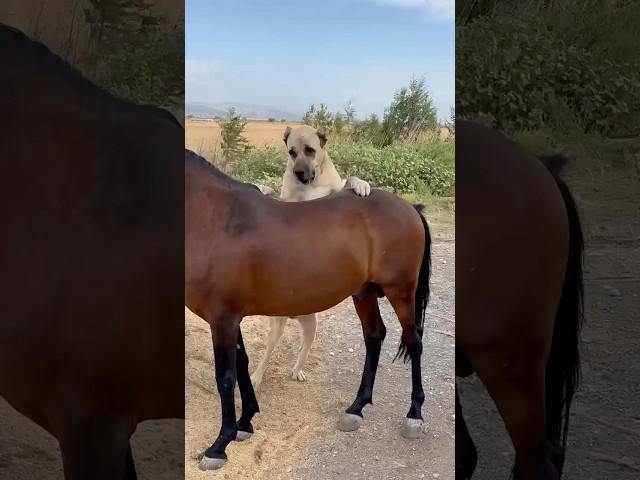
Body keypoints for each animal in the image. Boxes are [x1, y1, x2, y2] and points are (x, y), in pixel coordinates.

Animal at [250, 125, 370, 388]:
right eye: (291, 152)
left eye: (310, 150)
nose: (299, 173)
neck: (310, 186)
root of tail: (293, 313)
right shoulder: (287, 203)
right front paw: (261, 187)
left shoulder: (333, 192)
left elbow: (349, 180)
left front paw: (361, 184)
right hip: (277, 327)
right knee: (267, 352)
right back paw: (256, 377)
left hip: (311, 326)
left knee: (303, 349)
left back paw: (297, 370)